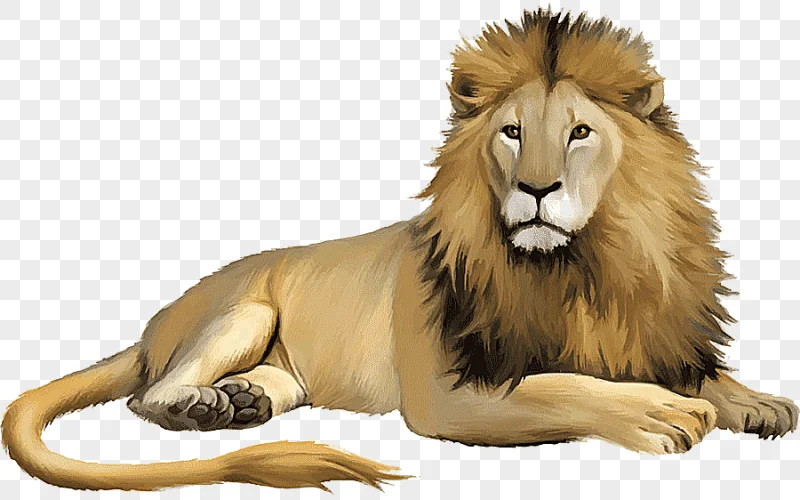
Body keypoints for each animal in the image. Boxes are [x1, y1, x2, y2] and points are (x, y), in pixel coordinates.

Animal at [3, 9, 797, 492]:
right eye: (512, 132)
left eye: (579, 132)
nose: (538, 188)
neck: (579, 267)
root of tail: (153, 325)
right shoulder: (447, 394)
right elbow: (562, 387)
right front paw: (662, 414)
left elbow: (700, 376)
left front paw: (756, 402)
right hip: (243, 312)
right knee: (147, 396)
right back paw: (199, 406)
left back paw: (241, 401)